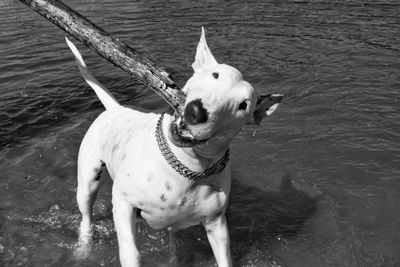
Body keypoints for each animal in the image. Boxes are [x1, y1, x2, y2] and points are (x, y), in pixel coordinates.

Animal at [65, 28, 282, 266]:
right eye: (215, 75)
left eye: (243, 105)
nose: (196, 111)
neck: (186, 165)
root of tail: (115, 108)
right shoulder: (123, 202)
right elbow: (131, 251)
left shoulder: (216, 224)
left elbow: (224, 256)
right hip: (89, 179)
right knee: (86, 215)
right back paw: (84, 246)